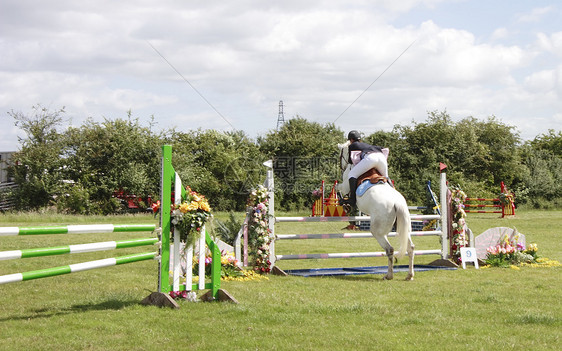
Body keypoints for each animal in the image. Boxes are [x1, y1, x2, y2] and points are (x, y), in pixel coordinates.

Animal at [334, 140, 414, 280]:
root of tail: (397, 203)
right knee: (410, 248)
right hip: (403, 226)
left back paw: (388, 275)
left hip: (378, 231)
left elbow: (338, 187)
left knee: (389, 249)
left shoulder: (345, 185)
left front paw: (345, 203)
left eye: (340, 156)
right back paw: (409, 275)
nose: (342, 167)